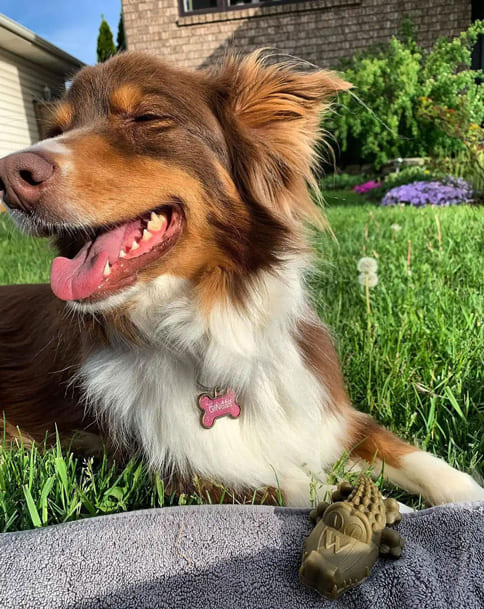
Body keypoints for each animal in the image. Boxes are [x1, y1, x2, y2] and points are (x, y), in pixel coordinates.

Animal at [0, 51, 482, 504]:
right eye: (54, 130)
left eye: (147, 118)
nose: (10, 176)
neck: (208, 324)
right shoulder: (189, 473)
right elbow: (322, 493)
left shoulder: (333, 417)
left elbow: (414, 456)